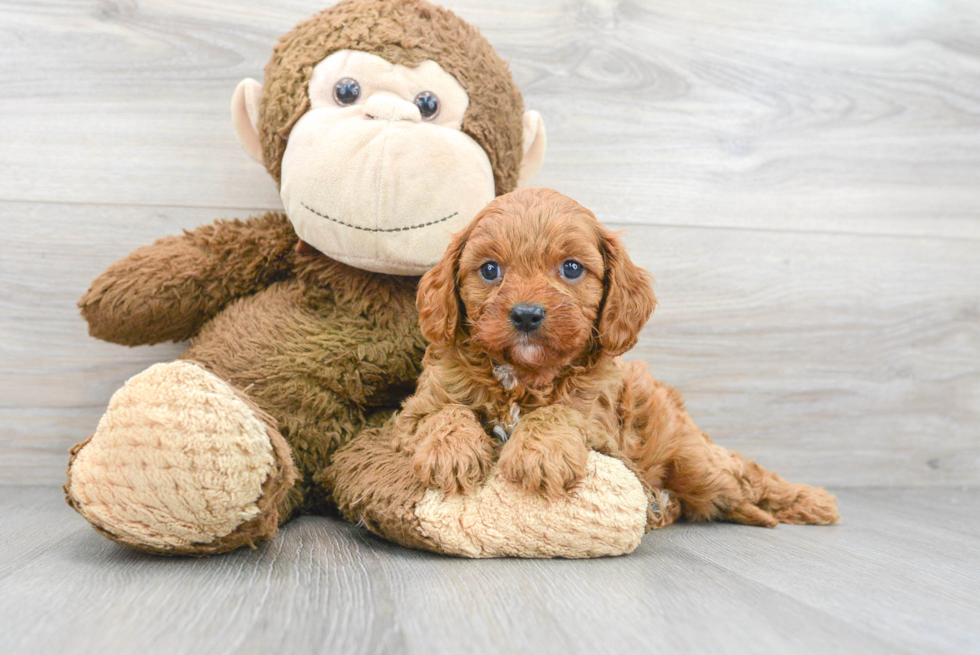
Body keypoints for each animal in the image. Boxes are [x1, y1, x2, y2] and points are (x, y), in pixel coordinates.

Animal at [394, 186, 840, 528]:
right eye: (489, 270)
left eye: (572, 268)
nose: (526, 314)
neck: (525, 375)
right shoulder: (411, 415)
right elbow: (446, 411)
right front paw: (450, 452)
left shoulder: (603, 428)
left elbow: (559, 411)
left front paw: (541, 454)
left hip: (698, 464)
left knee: (748, 476)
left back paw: (815, 501)